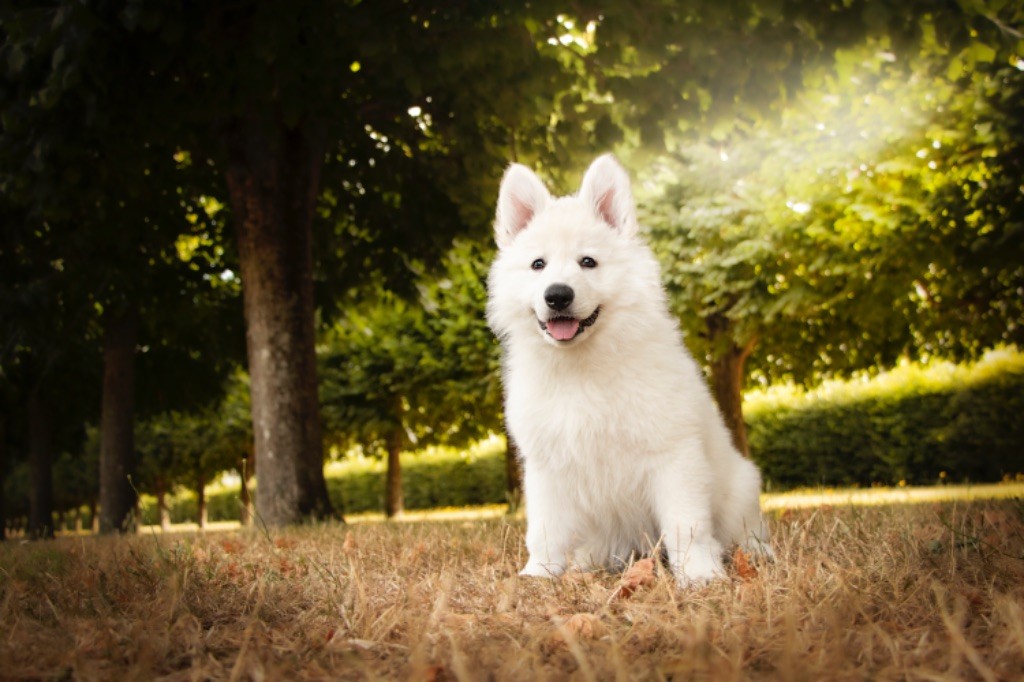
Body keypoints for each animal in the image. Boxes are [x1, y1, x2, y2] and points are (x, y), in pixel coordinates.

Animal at [487, 155, 770, 585]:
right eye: (538, 265)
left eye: (588, 262)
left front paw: (699, 575)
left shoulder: (673, 456)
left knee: (747, 532)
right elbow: (545, 529)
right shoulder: (546, 467)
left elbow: (686, 525)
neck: (582, 367)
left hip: (741, 489)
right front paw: (539, 574)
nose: (557, 295)